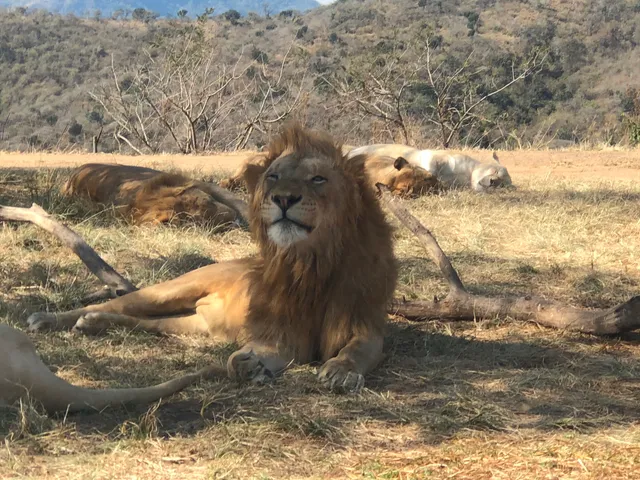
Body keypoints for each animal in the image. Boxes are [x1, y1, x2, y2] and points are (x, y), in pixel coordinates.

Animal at [346, 145, 513, 192]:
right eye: (495, 171)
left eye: (502, 184)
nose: (492, 182)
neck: (468, 174)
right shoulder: (445, 158)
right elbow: (434, 162)